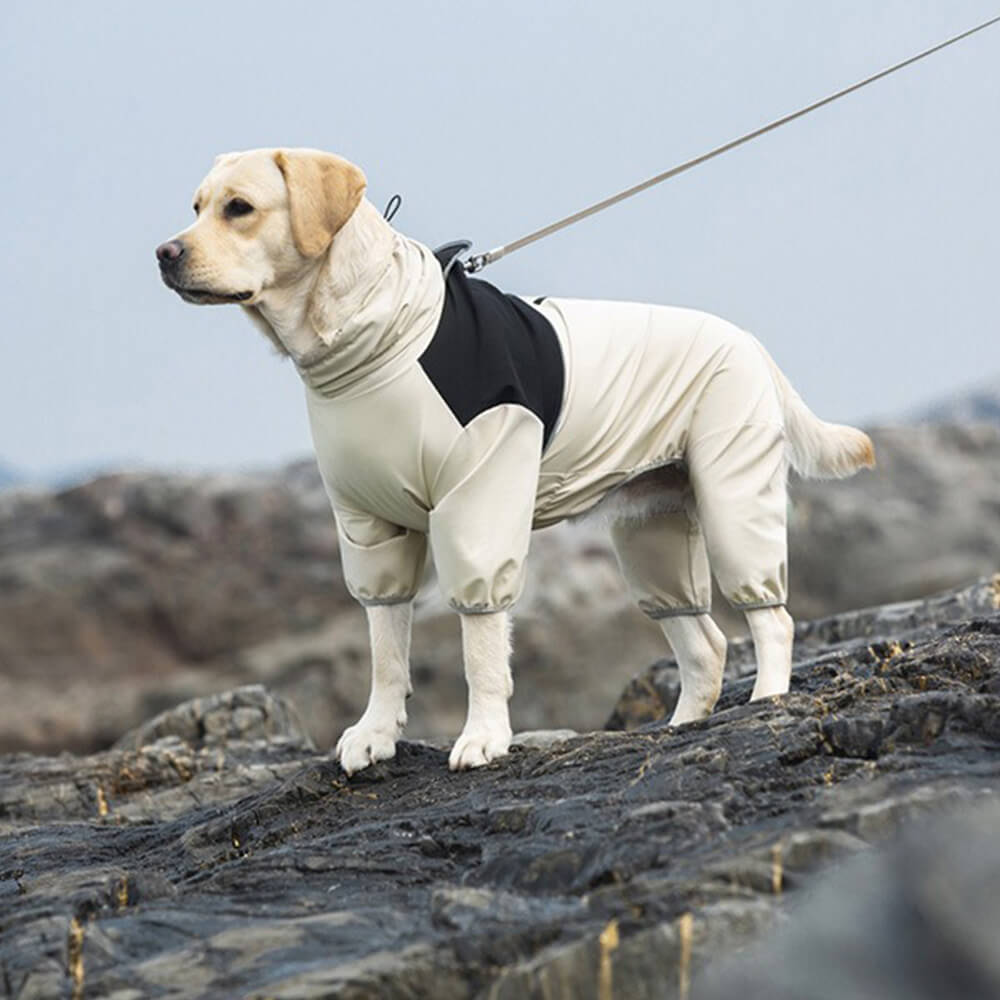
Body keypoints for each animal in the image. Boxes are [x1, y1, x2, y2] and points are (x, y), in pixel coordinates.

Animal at [156, 146, 876, 772]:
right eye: (195, 206)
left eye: (240, 208)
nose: (165, 253)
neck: (372, 334)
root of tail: (749, 342)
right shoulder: (368, 527)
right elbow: (386, 649)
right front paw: (375, 734)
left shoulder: (479, 504)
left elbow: (479, 648)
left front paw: (482, 738)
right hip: (651, 532)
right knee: (705, 644)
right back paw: (682, 727)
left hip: (733, 500)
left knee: (773, 618)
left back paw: (767, 702)